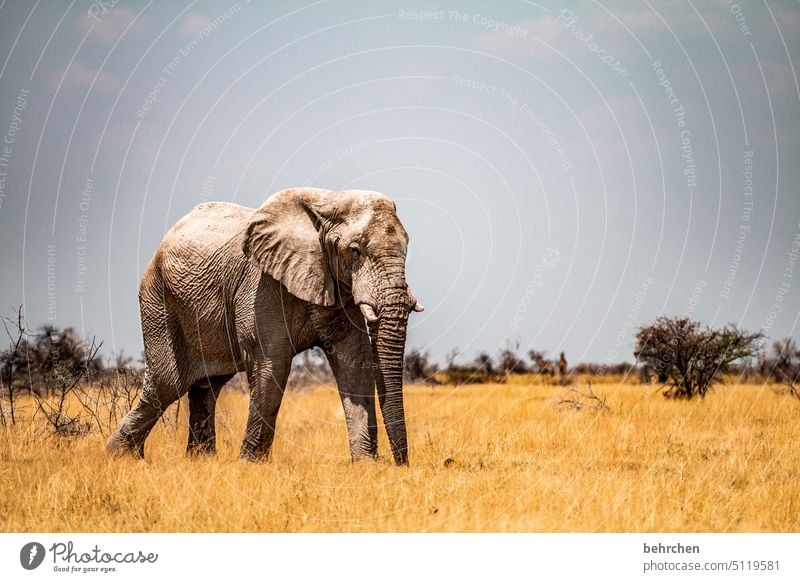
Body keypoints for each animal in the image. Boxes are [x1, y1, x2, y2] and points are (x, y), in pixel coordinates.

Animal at [106, 189, 424, 468]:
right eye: (354, 250)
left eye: (408, 246)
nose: (401, 465)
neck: (327, 202)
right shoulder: (262, 287)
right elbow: (273, 366)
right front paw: (250, 467)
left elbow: (355, 366)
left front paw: (366, 467)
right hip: (158, 298)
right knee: (167, 382)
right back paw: (119, 456)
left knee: (206, 386)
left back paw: (200, 461)